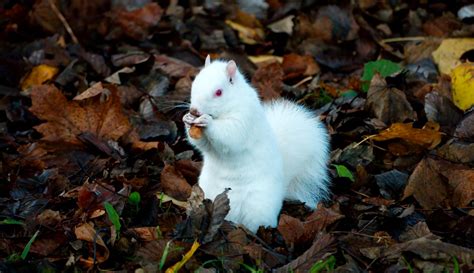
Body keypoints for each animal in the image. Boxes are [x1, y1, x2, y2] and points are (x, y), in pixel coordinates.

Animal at [181, 55, 330, 232]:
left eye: (219, 92)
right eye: (194, 84)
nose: (194, 111)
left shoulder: (245, 118)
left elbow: (231, 134)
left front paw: (207, 121)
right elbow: (203, 144)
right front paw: (187, 119)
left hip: (258, 204)